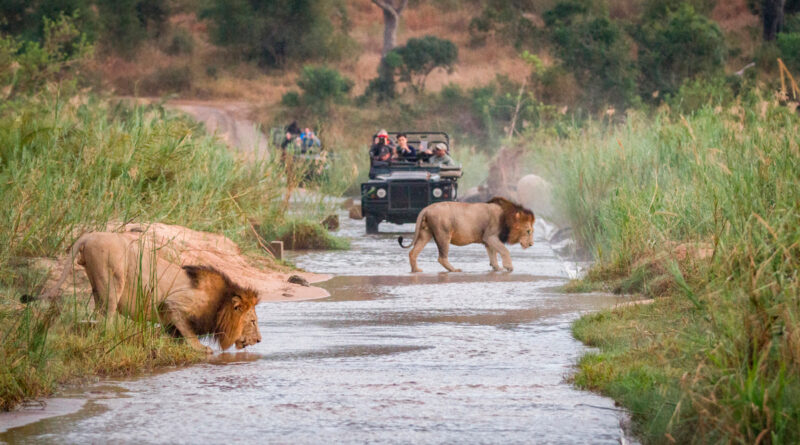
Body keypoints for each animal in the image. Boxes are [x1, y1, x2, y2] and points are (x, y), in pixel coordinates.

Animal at [44, 231, 260, 352]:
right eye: (253, 321)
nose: (259, 340)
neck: (220, 304)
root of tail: (89, 235)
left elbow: (174, 333)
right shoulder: (174, 303)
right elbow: (188, 332)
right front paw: (201, 349)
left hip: (98, 285)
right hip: (113, 280)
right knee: (107, 318)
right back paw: (115, 339)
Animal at [396, 197, 536, 272]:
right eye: (528, 231)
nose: (531, 244)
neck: (507, 217)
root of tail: (427, 208)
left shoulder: (488, 240)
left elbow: (493, 254)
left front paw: (497, 268)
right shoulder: (490, 236)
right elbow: (504, 250)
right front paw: (509, 267)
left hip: (426, 233)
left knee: (413, 252)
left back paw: (416, 270)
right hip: (443, 234)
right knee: (442, 257)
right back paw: (454, 270)